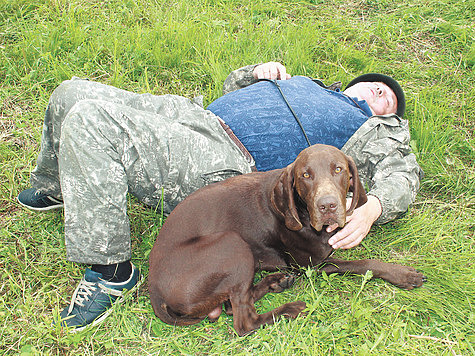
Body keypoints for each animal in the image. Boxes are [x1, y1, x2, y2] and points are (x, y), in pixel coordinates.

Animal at [148, 143, 424, 336]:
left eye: (338, 169)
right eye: (305, 175)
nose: (328, 206)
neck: (302, 213)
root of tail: (155, 292)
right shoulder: (312, 265)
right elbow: (362, 263)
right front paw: (403, 274)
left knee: (232, 305)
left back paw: (276, 282)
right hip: (232, 243)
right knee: (243, 322)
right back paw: (289, 309)